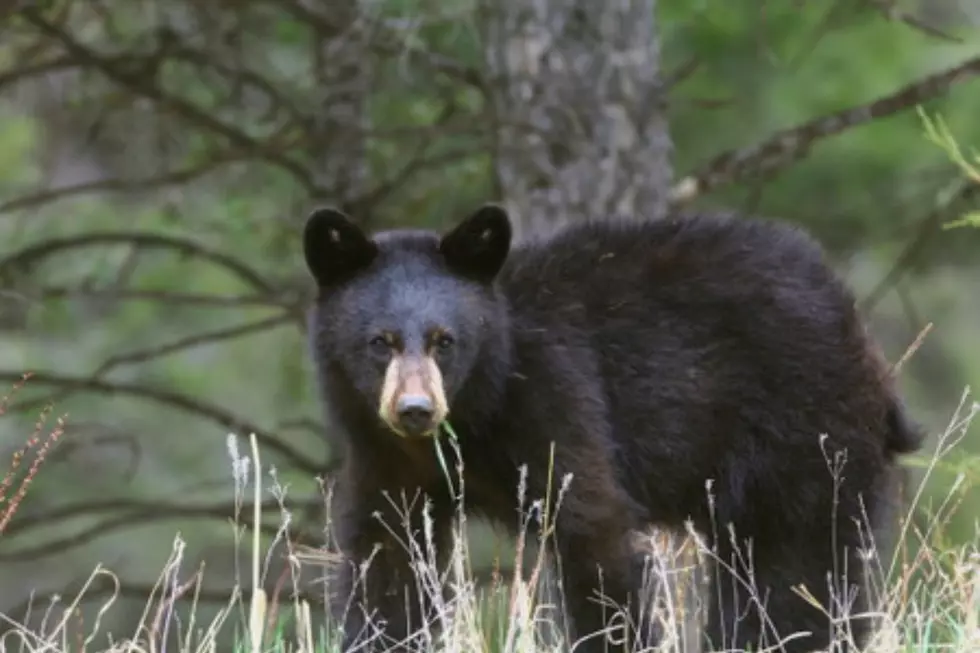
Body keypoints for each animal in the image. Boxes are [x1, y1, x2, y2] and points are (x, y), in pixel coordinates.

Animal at [302, 204, 924, 652]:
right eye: (379, 341)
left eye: (443, 340)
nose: (415, 409)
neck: (479, 411)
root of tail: (855, 323)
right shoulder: (387, 461)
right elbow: (389, 562)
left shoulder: (559, 401)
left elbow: (595, 537)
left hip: (801, 430)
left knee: (793, 567)